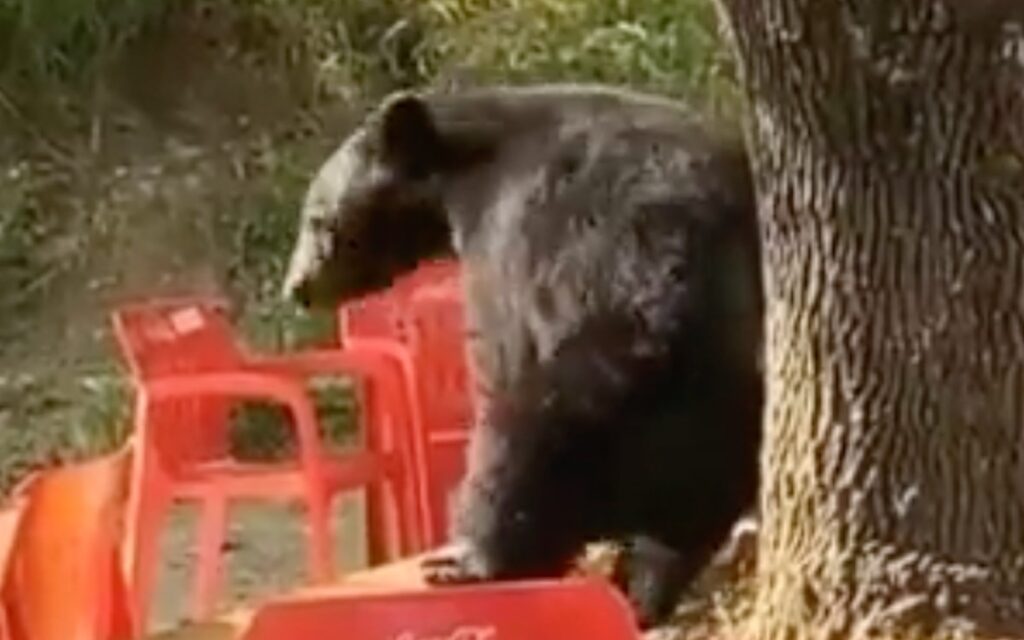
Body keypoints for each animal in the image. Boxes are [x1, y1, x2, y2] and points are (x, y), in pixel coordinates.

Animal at [281, 83, 763, 629]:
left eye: (317, 218)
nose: (296, 287)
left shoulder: (514, 238)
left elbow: (502, 350)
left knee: (523, 438)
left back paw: (471, 560)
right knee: (681, 528)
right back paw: (640, 588)